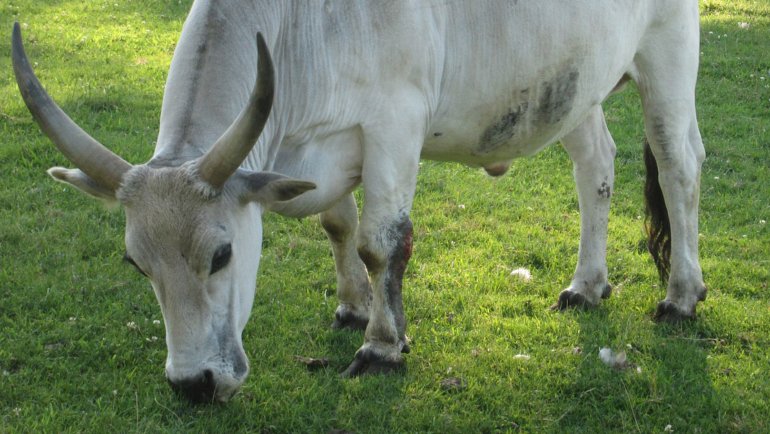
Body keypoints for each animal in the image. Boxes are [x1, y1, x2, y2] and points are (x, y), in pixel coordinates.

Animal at [13, 0, 708, 404]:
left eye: (222, 255)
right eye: (137, 264)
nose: (193, 384)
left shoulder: (395, 126)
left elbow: (382, 243)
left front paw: (381, 346)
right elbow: (338, 225)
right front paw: (352, 308)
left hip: (667, 58)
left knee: (680, 167)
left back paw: (680, 295)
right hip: (576, 85)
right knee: (596, 168)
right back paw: (587, 285)